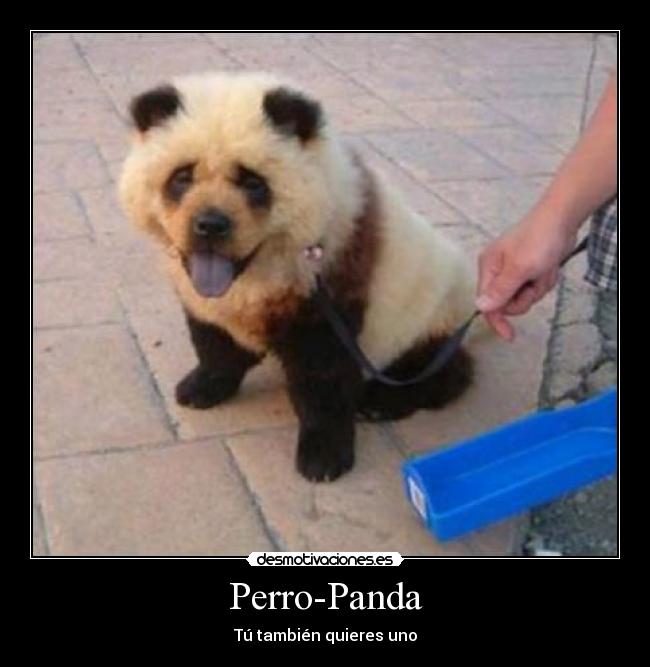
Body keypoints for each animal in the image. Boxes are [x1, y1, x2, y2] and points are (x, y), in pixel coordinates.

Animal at [119, 72, 476, 482]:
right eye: (182, 177)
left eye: (252, 183)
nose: (209, 225)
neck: (255, 275)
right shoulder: (208, 301)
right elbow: (214, 341)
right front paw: (203, 385)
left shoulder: (328, 288)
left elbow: (322, 378)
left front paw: (323, 456)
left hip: (427, 318)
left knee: (440, 371)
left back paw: (382, 401)